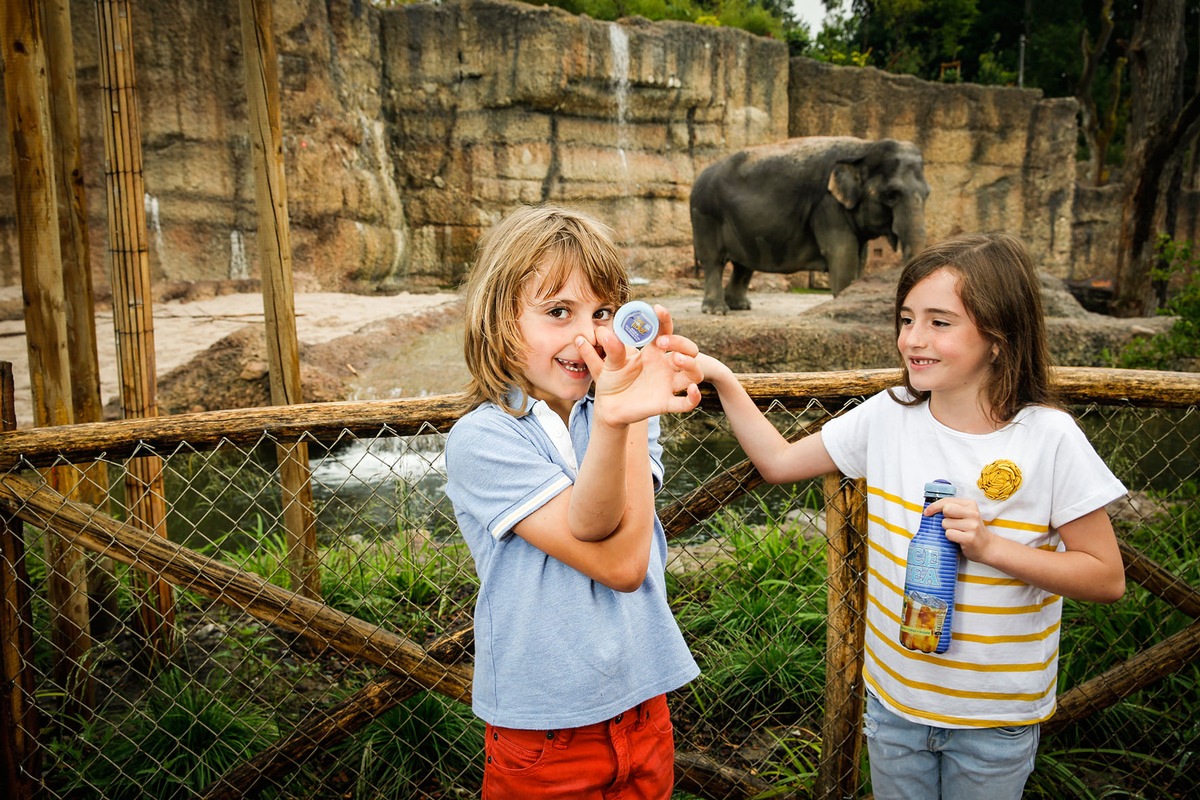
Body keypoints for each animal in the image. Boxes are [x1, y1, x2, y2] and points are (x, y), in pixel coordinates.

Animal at [691, 137, 931, 311]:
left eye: (927, 194)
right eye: (891, 195)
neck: (864, 148)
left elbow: (860, 257)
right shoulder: (827, 205)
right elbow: (843, 255)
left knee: (743, 265)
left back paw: (740, 306)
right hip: (705, 215)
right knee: (713, 260)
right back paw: (716, 310)